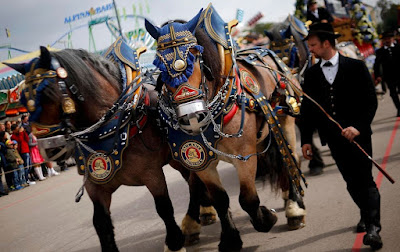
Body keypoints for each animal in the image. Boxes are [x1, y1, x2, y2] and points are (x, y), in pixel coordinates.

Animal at [4, 42, 216, 250]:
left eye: (48, 93)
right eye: (23, 100)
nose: (47, 148)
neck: (114, 127)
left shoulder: (152, 174)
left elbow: (163, 207)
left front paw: (174, 242)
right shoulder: (95, 184)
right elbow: (100, 223)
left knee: (193, 181)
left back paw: (195, 219)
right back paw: (204, 211)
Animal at [146, 4, 306, 251]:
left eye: (195, 57)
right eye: (159, 64)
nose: (192, 115)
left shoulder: (245, 156)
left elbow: (248, 199)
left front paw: (266, 217)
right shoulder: (201, 162)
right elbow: (220, 200)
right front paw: (230, 239)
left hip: (286, 120)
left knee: (291, 160)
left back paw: (294, 207)